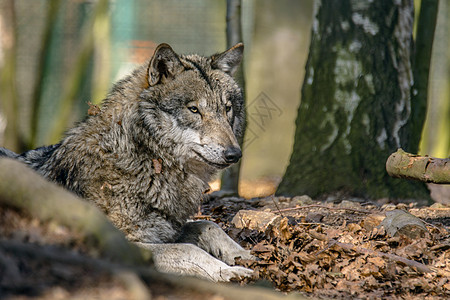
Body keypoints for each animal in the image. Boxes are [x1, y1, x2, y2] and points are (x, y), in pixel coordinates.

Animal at [0, 42, 253, 282]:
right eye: (193, 109)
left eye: (227, 109)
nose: (234, 154)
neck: (144, 157)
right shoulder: (127, 243)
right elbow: (188, 249)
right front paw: (228, 271)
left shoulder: (165, 229)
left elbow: (209, 226)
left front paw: (247, 256)